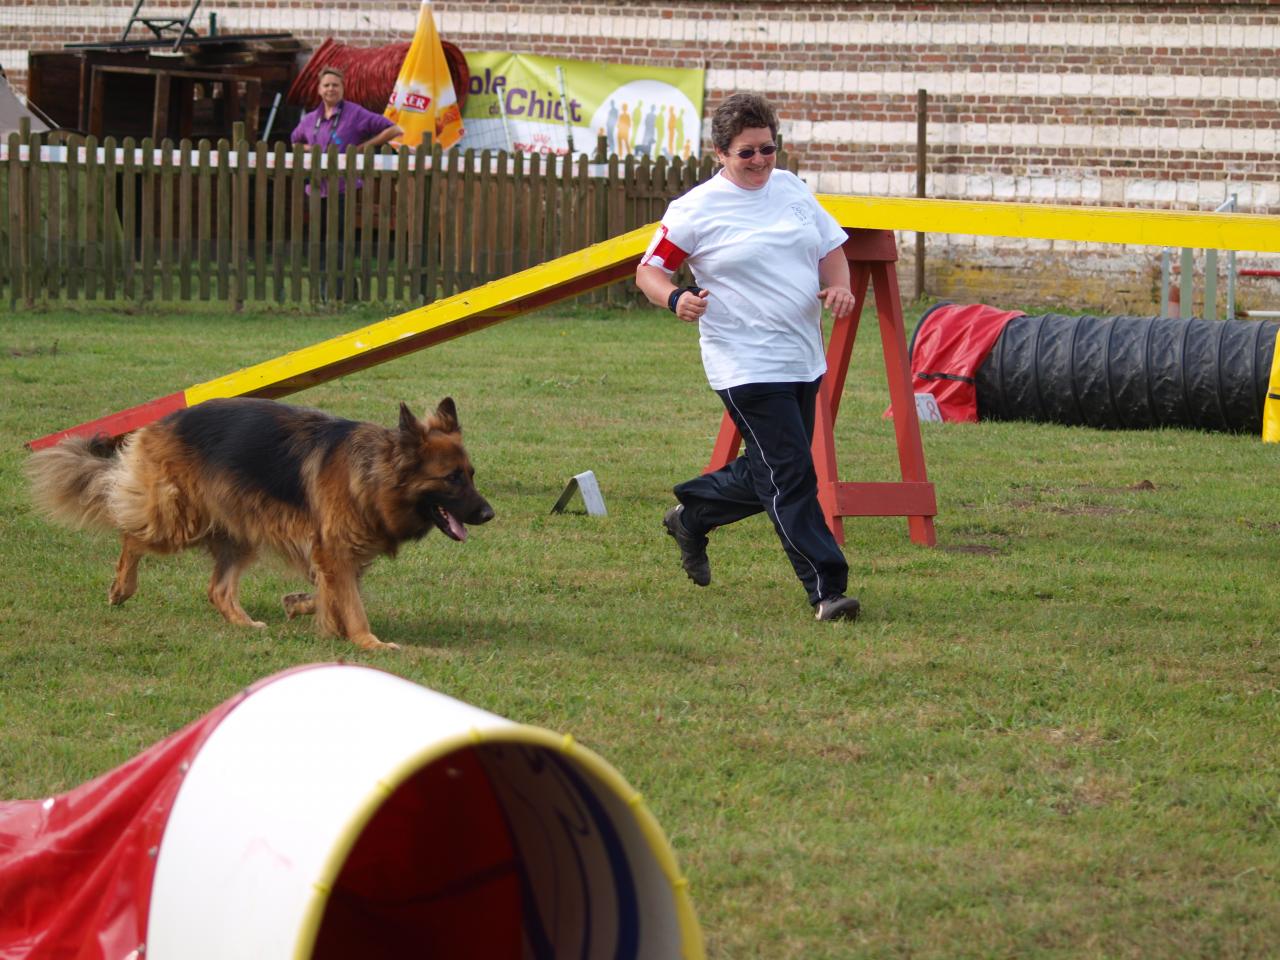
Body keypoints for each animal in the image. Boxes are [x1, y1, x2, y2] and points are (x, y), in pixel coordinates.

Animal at [26, 394, 494, 650]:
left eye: (471, 474)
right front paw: (369, 642)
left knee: (216, 589)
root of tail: (160, 423)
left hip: (239, 528)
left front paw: (303, 606)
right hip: (181, 521)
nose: (489, 514)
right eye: (452, 478)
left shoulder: (337, 556)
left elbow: (335, 594)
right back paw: (121, 588)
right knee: (131, 534)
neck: (374, 472)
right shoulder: (335, 550)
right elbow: (352, 604)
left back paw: (244, 622)